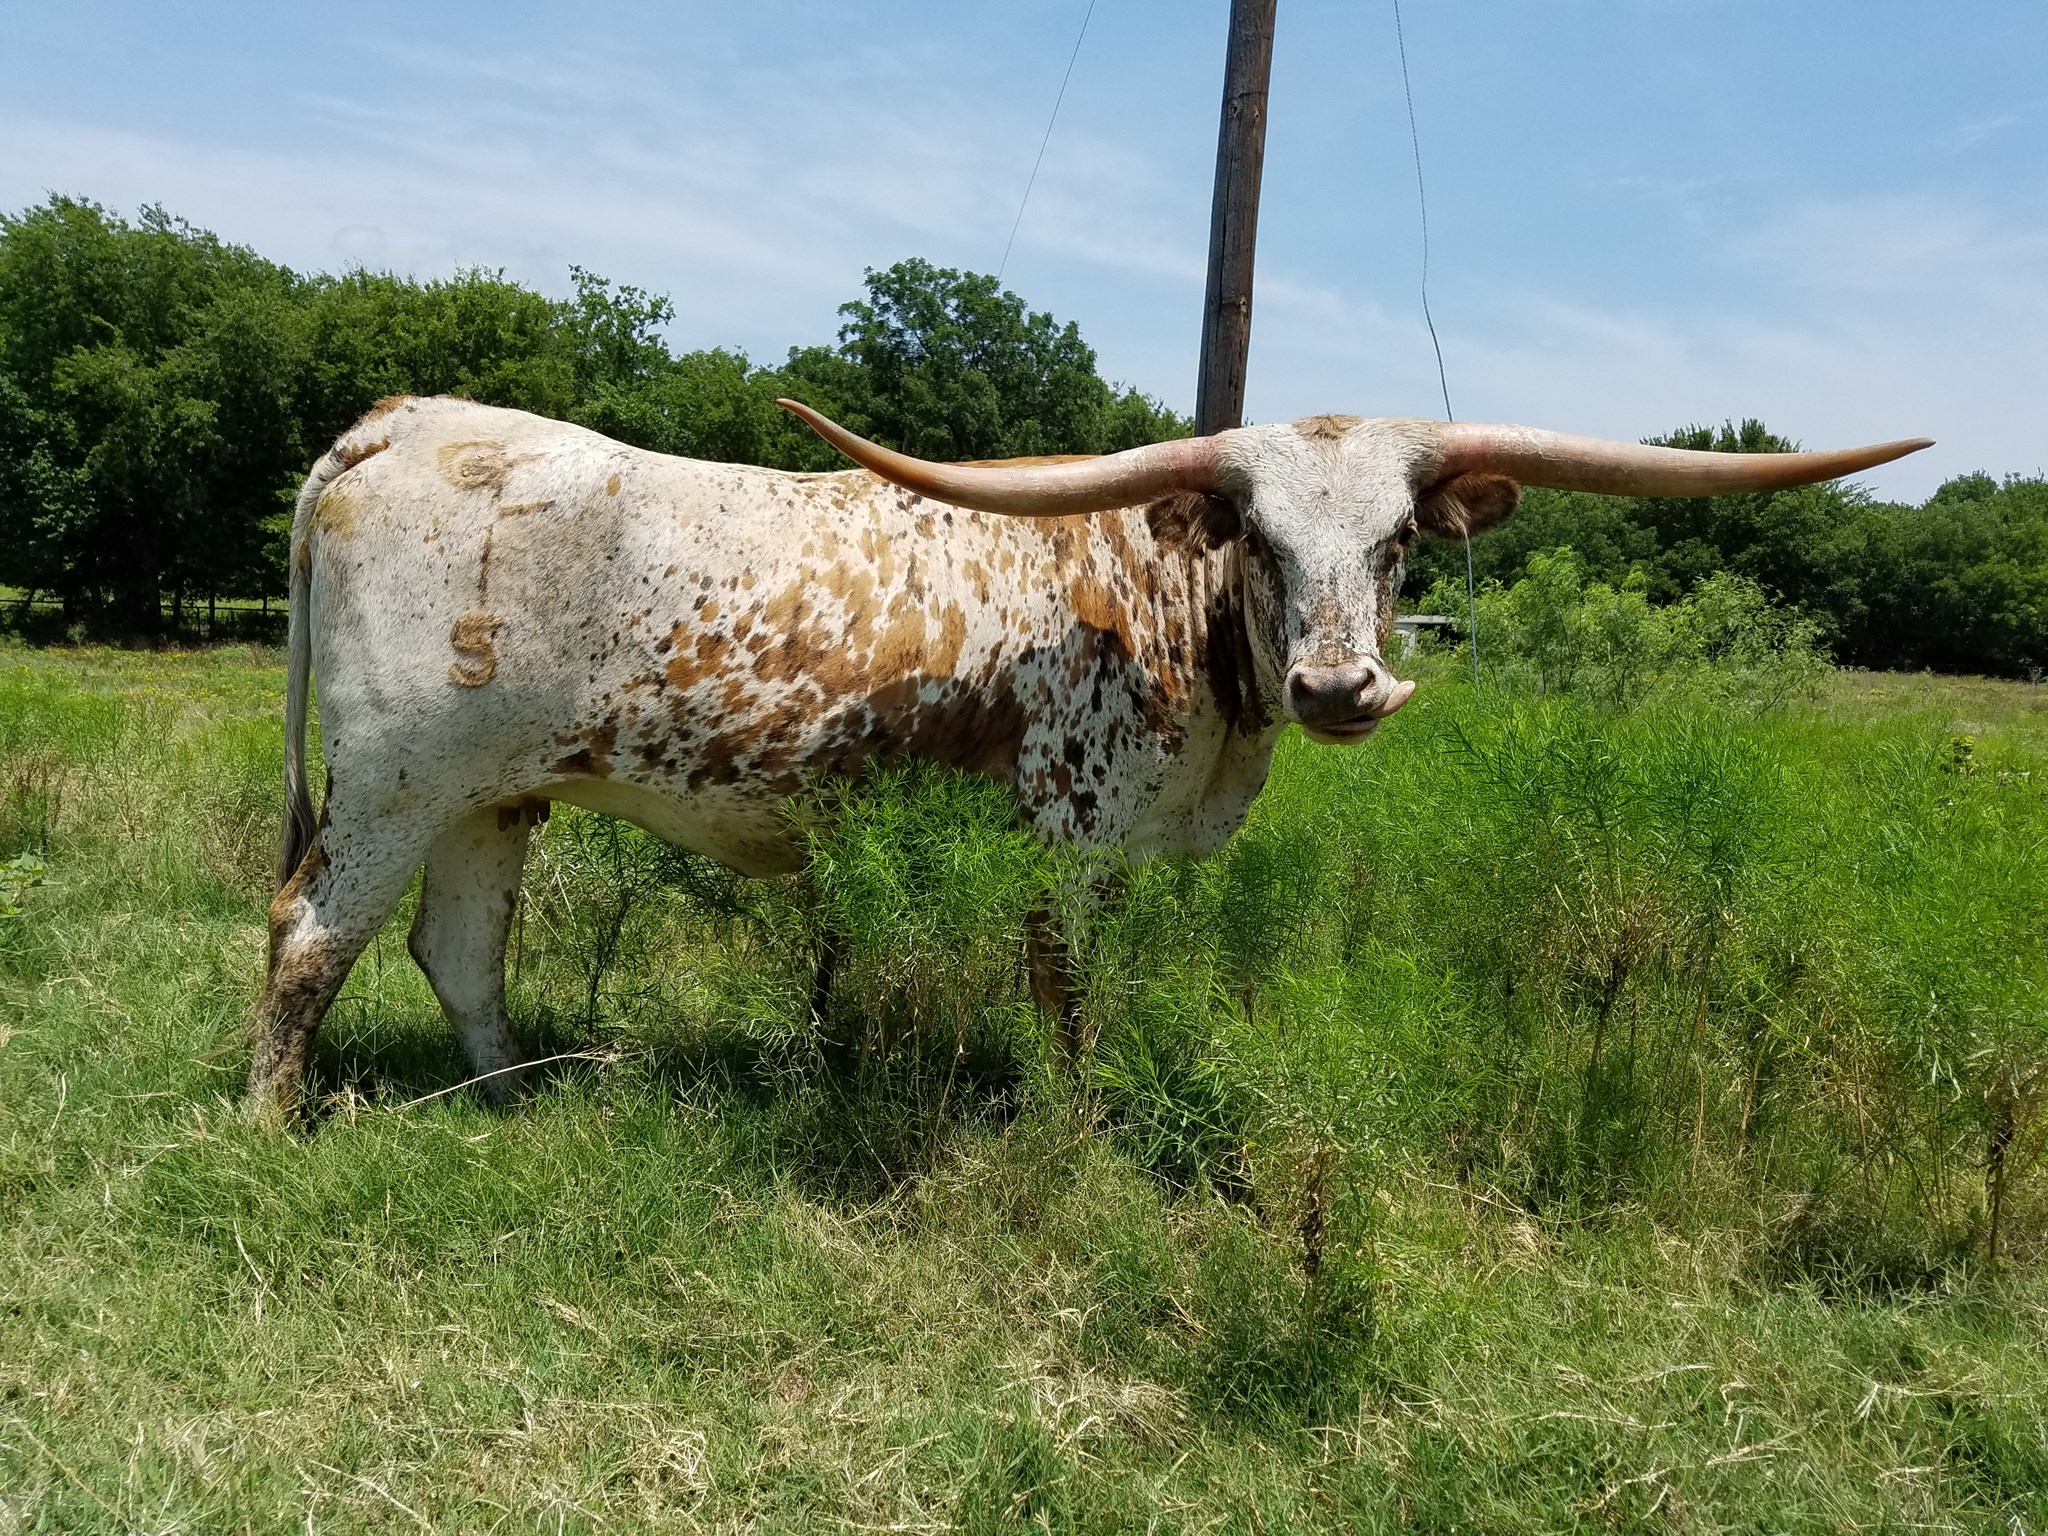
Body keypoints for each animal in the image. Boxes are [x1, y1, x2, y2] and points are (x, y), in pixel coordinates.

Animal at [246, 392, 1927, 1121]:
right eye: (1256, 531)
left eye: (1397, 542)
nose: (1336, 684)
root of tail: (403, 420)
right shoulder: (1071, 841)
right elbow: (1068, 1004)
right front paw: (1074, 1130)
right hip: (389, 787)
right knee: (309, 939)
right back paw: (274, 1118)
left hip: (497, 792)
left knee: (461, 951)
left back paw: (519, 1094)